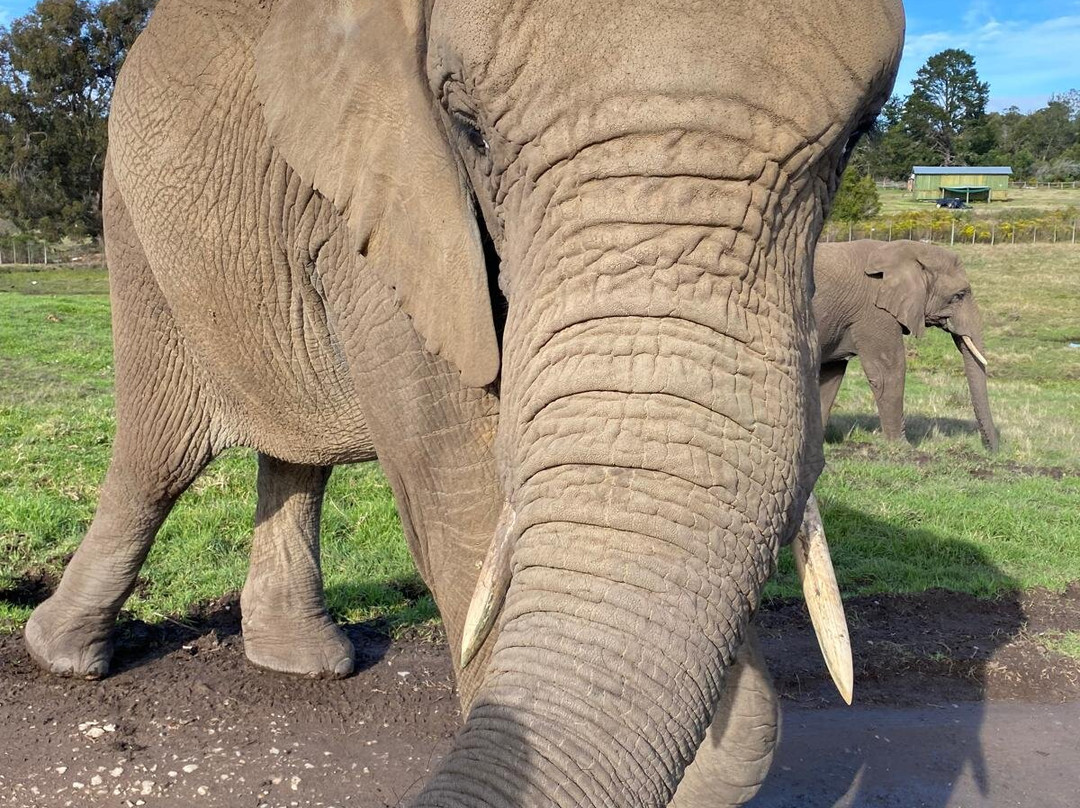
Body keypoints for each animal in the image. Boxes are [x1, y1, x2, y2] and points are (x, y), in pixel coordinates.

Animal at [23, 1, 904, 806]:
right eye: (469, 129)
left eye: (857, 139)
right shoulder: (391, 204)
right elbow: (457, 467)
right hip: (132, 216)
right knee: (160, 455)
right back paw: (63, 656)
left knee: (295, 456)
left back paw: (306, 663)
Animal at [813, 240, 998, 452]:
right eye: (959, 295)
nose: (994, 451)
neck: (910, 250)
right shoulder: (875, 311)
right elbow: (888, 372)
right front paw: (902, 448)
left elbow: (830, 375)